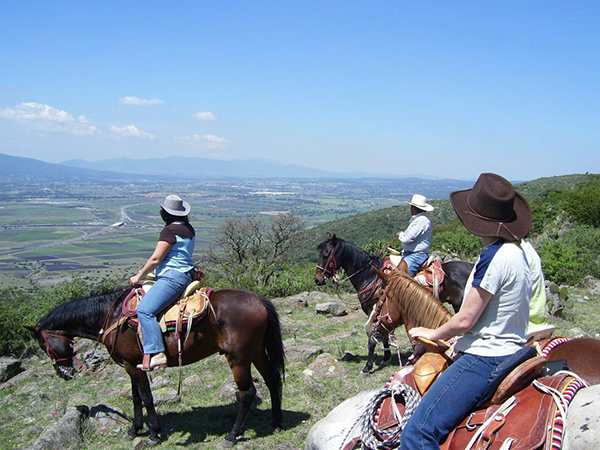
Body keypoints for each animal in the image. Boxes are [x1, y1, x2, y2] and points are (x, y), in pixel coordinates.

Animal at [29, 286, 288, 444]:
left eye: (43, 345)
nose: (63, 373)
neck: (111, 317)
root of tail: (258, 299)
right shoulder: (131, 366)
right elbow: (135, 398)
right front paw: (134, 429)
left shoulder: (134, 366)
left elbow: (146, 398)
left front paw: (154, 433)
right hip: (256, 352)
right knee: (273, 380)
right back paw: (276, 422)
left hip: (238, 358)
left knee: (247, 393)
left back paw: (233, 435)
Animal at [314, 234, 474, 374]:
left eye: (326, 254)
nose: (317, 279)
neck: (370, 277)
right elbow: (383, 334)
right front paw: (385, 358)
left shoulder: (374, 310)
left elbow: (372, 338)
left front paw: (367, 367)